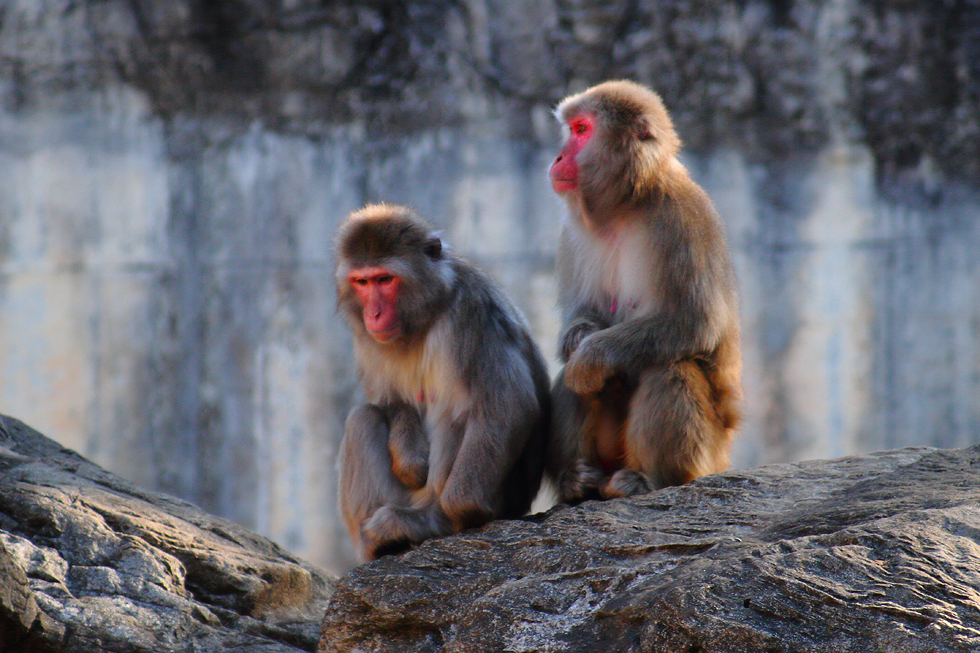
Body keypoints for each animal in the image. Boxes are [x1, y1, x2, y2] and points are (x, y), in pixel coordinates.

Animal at [335, 204, 551, 561]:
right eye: (362, 282)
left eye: (385, 279)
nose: (374, 314)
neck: (424, 315)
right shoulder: (365, 338)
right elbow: (388, 400)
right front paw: (410, 459)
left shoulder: (472, 314)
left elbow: (508, 405)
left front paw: (458, 514)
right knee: (362, 418)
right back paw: (379, 546)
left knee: (454, 411)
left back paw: (429, 521)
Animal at [545, 80, 742, 503]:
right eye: (571, 129)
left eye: (581, 130)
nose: (558, 157)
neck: (626, 205)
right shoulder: (571, 234)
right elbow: (581, 314)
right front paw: (580, 336)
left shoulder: (682, 219)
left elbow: (694, 321)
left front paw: (590, 357)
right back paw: (577, 480)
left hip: (708, 454)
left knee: (669, 366)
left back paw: (650, 478)